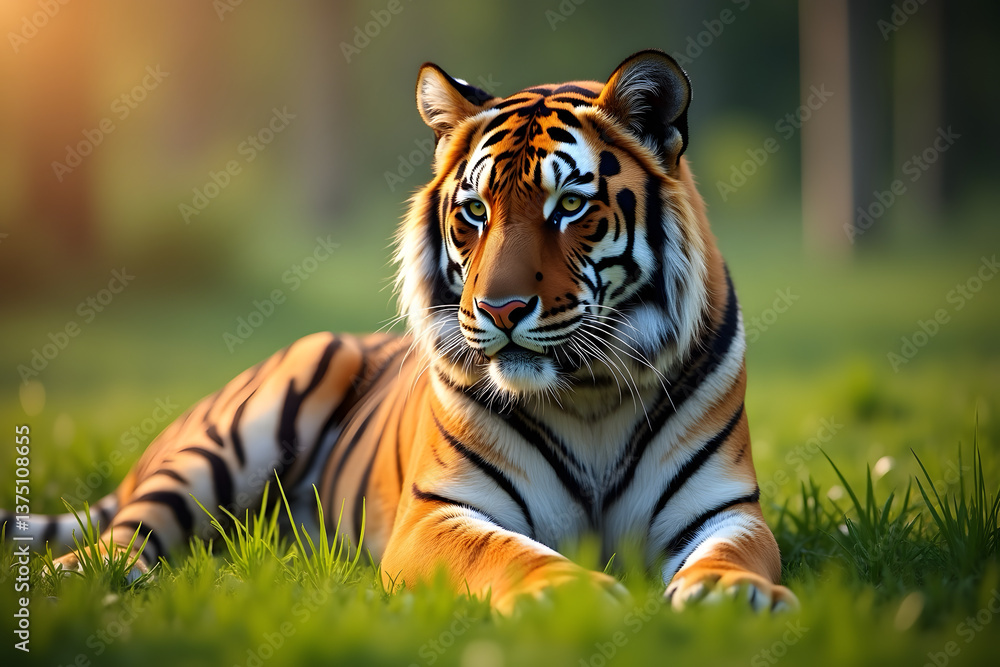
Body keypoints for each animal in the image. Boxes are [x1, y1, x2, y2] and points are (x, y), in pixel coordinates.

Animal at [5, 50, 797, 613]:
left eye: (570, 206)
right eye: (475, 211)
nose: (502, 309)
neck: (590, 391)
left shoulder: (723, 508)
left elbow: (735, 554)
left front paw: (734, 595)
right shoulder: (439, 513)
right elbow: (508, 555)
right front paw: (569, 593)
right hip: (232, 435)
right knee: (126, 531)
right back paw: (95, 578)